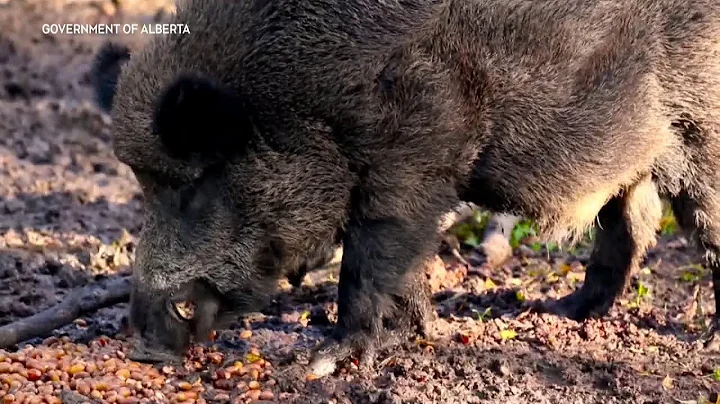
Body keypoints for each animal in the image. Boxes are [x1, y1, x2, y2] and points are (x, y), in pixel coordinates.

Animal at [91, 0, 720, 376]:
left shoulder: (415, 159)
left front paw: (321, 362)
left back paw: (706, 344)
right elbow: (403, 264)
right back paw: (565, 312)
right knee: (631, 226)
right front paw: (417, 333)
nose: (144, 342)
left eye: (195, 183)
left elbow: (370, 259)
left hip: (702, 132)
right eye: (144, 186)